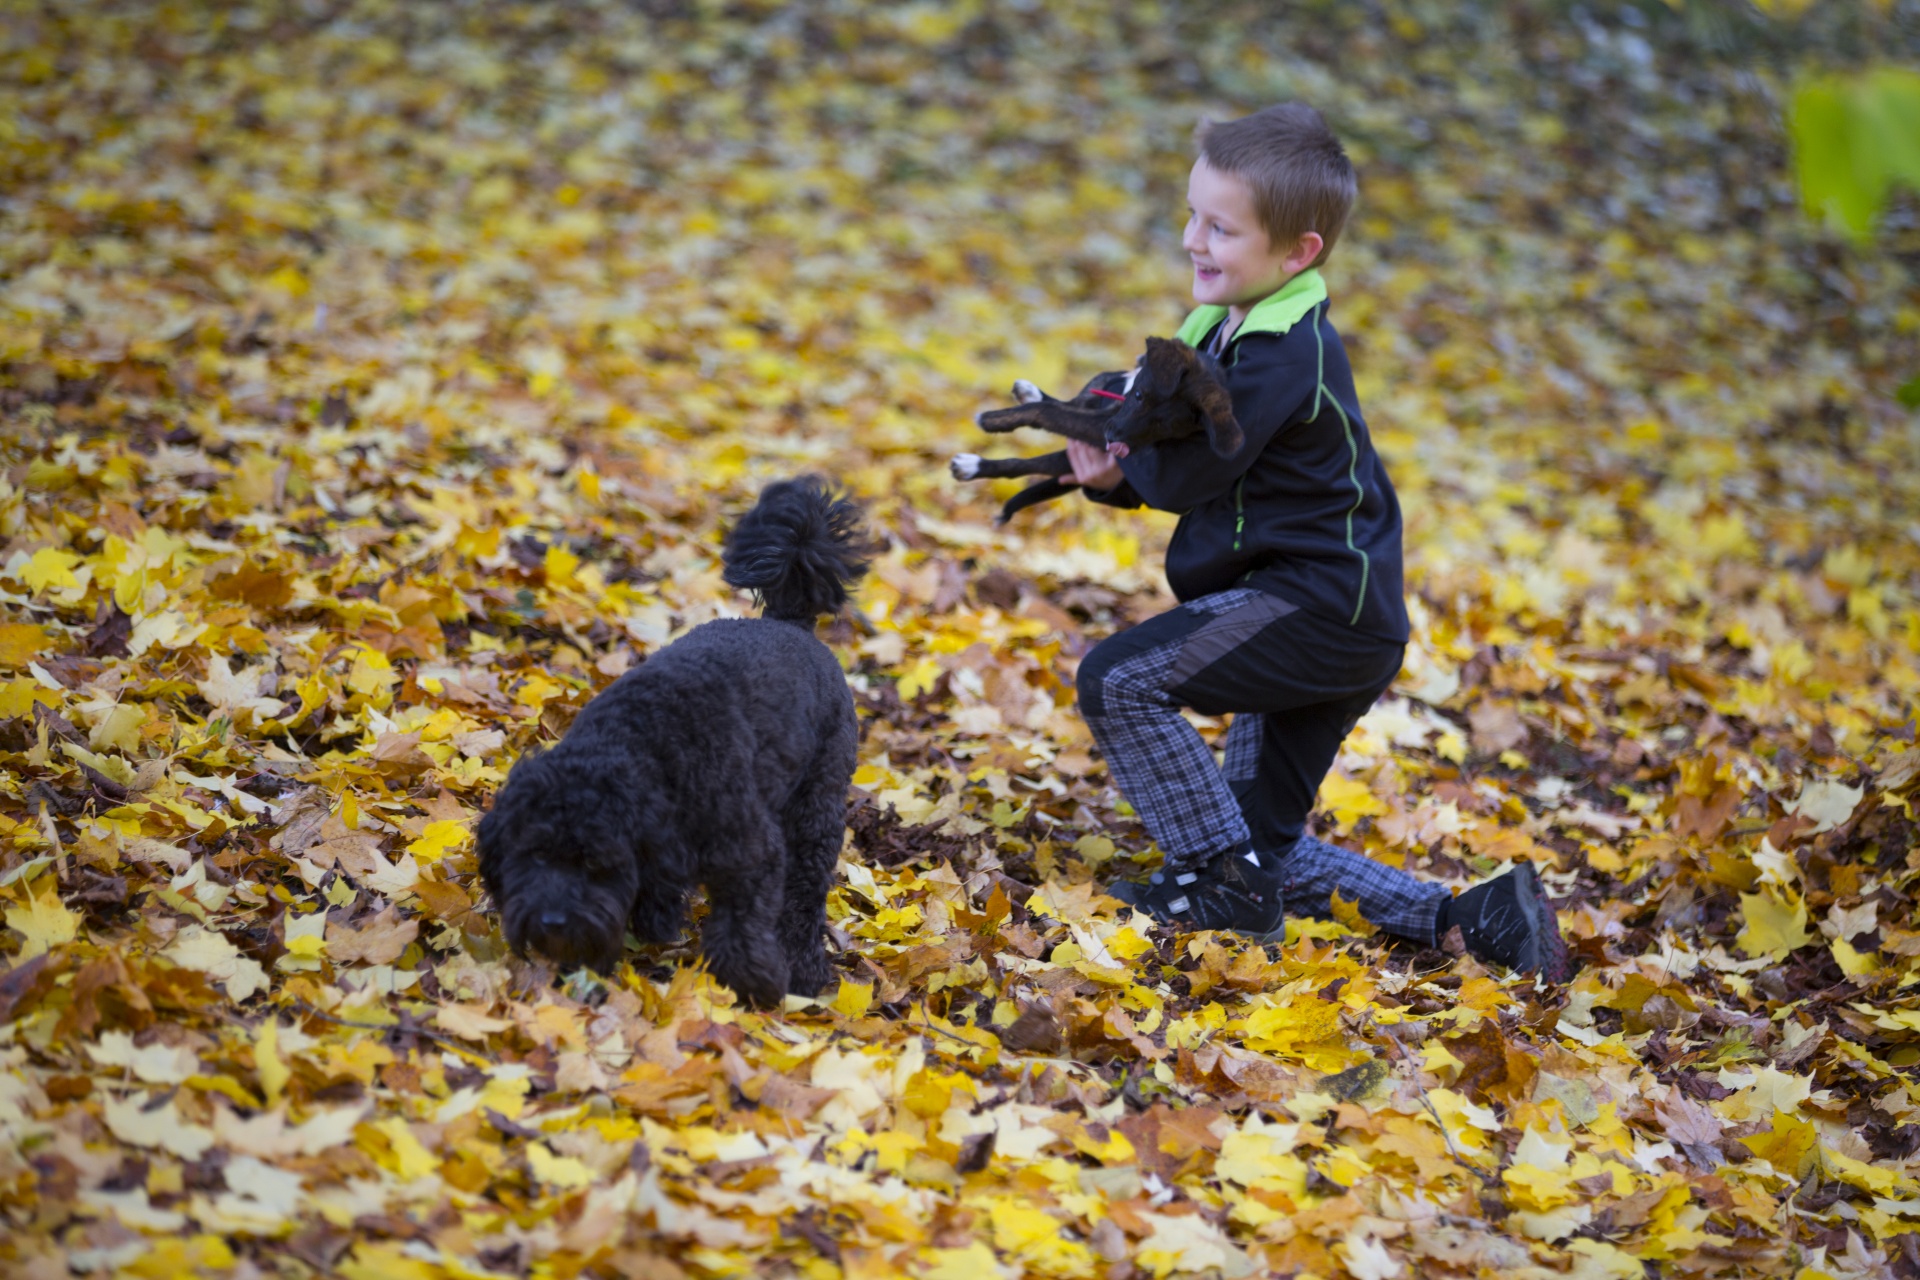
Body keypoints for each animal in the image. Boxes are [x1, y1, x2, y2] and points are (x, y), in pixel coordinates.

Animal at [480, 475, 871, 1005]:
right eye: (535, 854)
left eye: (594, 861)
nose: (553, 922)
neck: (637, 748)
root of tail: (790, 622)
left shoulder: (752, 853)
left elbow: (741, 928)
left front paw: (752, 984)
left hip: (817, 810)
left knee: (805, 899)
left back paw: (806, 974)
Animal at [948, 337, 1244, 529]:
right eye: (1139, 396)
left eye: (1166, 427)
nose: (1113, 439)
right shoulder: (1106, 400)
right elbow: (1064, 402)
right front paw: (1030, 393)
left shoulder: (1099, 423)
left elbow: (1048, 411)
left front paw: (993, 420)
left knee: (1023, 465)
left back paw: (971, 466)